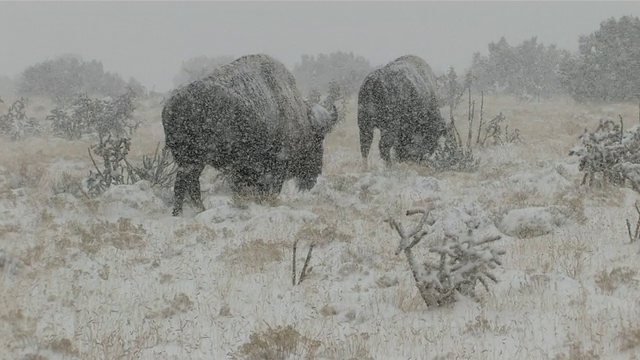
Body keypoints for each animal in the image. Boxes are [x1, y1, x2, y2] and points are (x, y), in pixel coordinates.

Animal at [162, 54, 338, 217]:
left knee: (187, 184)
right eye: (319, 139)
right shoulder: (275, 167)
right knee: (185, 183)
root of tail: (170, 105)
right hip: (192, 160)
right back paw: (187, 212)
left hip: (191, 161)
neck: (299, 116)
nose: (314, 176)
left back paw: (190, 211)